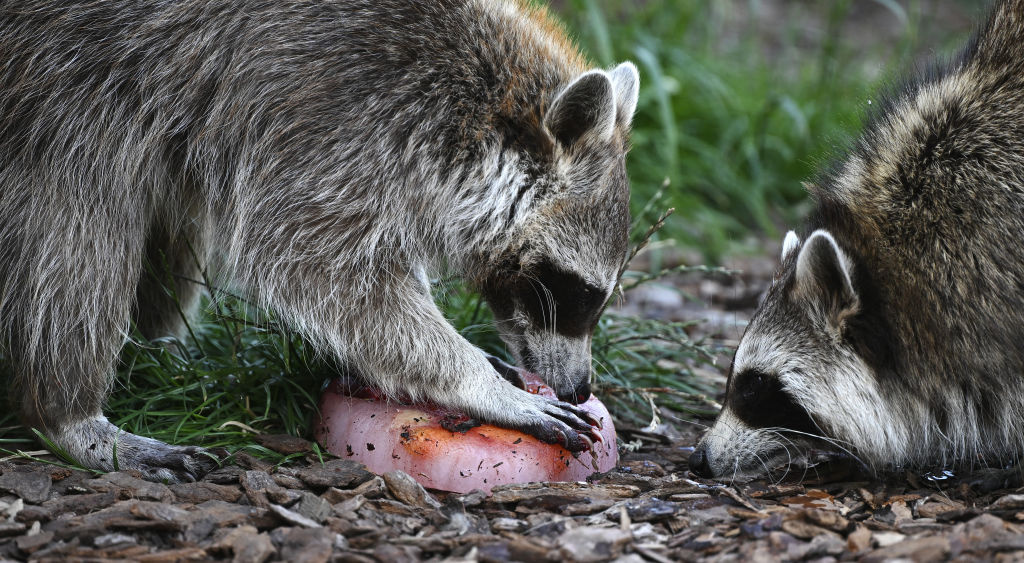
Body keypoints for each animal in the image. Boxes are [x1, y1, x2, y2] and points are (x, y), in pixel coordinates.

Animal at [0, 0, 639, 481]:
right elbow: (320, 265)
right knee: (79, 221)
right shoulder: (323, 105)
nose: (580, 388)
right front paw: (474, 381)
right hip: (64, 81)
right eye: (576, 291)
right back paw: (68, 415)